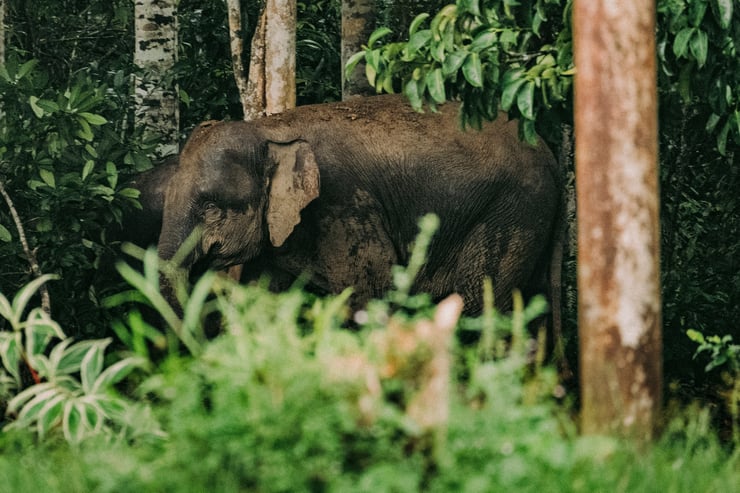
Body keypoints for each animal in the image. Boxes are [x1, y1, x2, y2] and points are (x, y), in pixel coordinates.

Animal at [158, 94, 561, 316]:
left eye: (210, 208)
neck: (269, 130)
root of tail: (549, 152)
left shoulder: (345, 205)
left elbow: (369, 295)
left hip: (513, 211)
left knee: (482, 304)